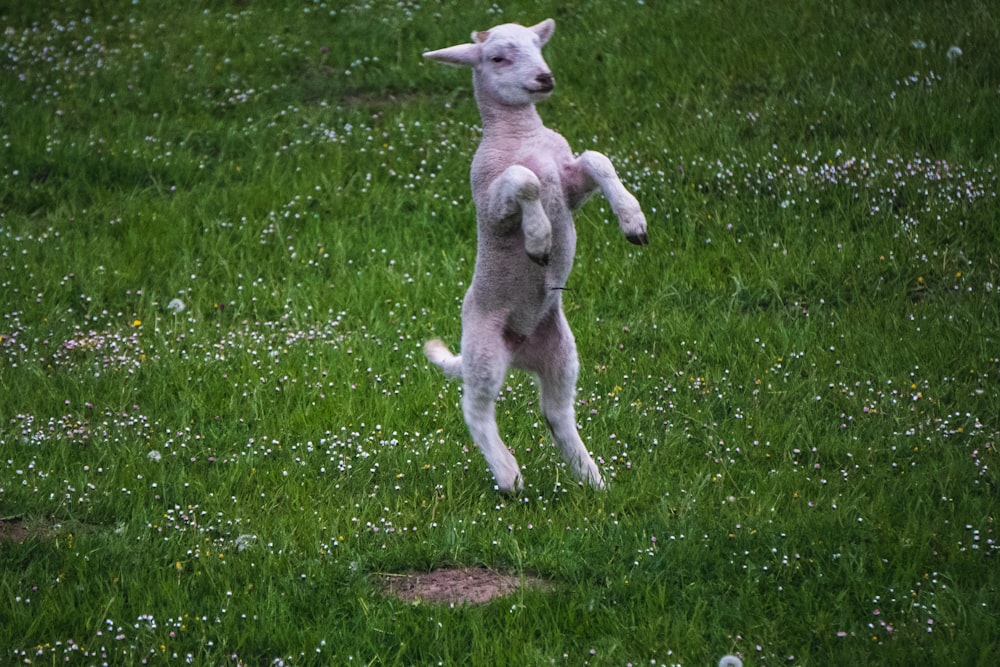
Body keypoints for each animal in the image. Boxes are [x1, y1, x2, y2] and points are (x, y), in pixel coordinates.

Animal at [422, 18, 648, 496]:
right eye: (497, 57)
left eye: (537, 47)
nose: (545, 78)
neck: (521, 134)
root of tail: (519, 351)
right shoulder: (491, 203)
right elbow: (524, 180)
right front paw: (540, 239)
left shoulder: (570, 184)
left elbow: (597, 159)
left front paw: (634, 222)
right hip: (484, 348)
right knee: (475, 407)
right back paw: (509, 476)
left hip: (560, 350)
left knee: (556, 411)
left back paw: (591, 478)